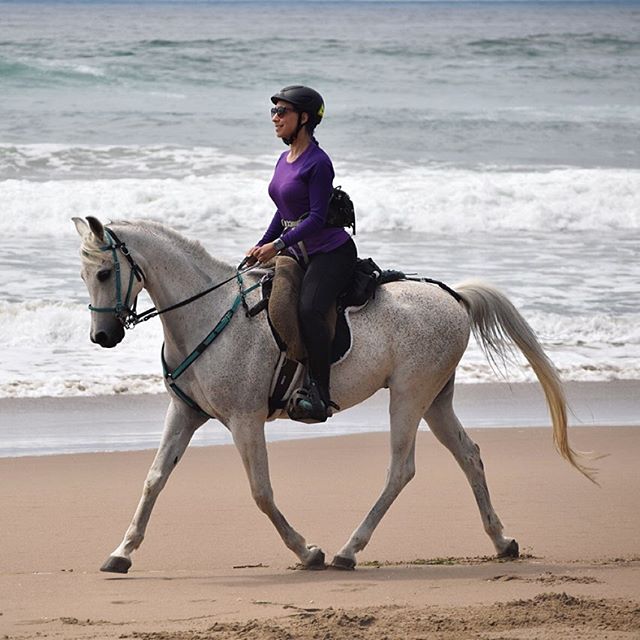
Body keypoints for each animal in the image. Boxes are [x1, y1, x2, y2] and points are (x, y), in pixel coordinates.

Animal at [74, 216, 592, 576]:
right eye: (84, 276)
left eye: (103, 273)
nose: (102, 337)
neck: (206, 313)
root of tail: (455, 297)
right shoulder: (184, 412)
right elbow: (154, 479)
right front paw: (121, 553)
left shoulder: (245, 420)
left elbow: (261, 492)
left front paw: (308, 551)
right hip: (436, 399)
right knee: (469, 455)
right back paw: (502, 541)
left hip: (409, 395)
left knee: (400, 470)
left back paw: (347, 550)